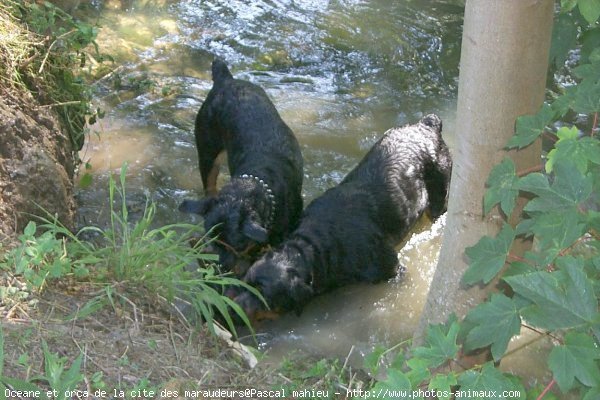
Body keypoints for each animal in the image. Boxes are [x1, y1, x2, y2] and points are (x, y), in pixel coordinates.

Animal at [180, 59, 304, 276]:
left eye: (236, 246)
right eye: (213, 241)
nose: (218, 269)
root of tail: (225, 80)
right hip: (207, 151)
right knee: (209, 183)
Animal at [232, 114, 452, 320]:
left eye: (263, 296)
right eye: (245, 283)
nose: (232, 311)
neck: (316, 247)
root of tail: (427, 124)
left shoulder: (393, 269)